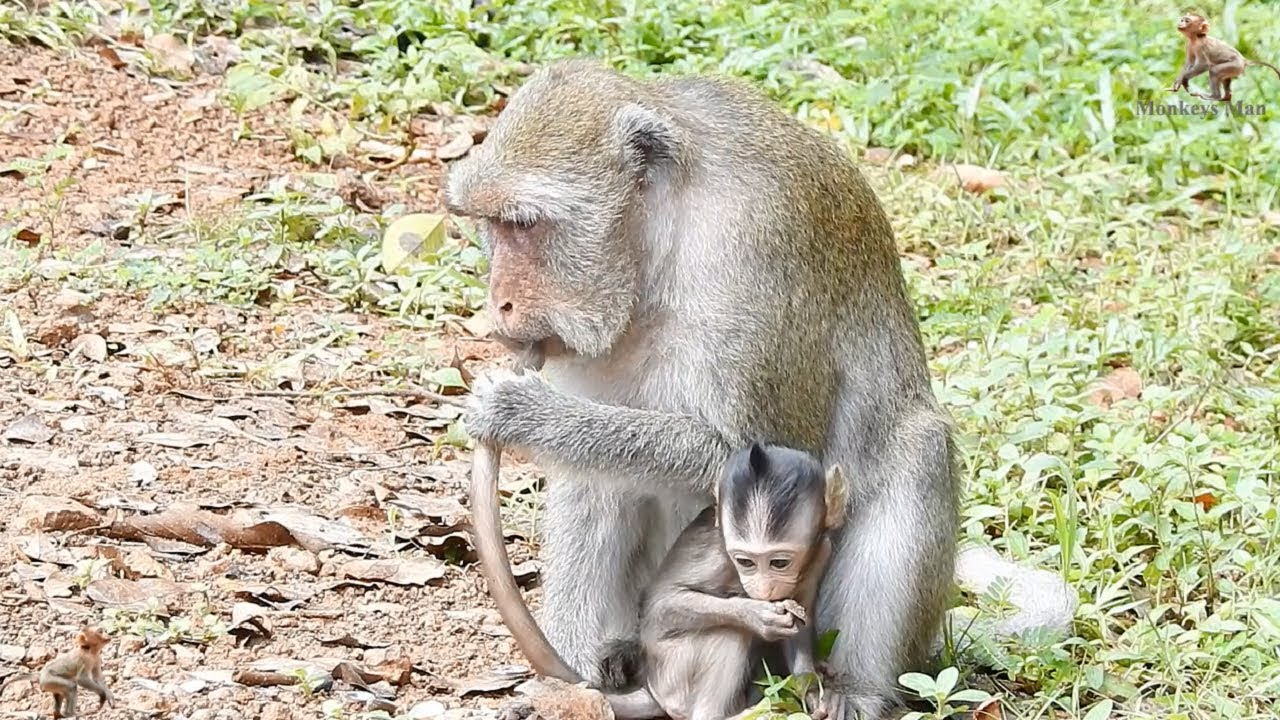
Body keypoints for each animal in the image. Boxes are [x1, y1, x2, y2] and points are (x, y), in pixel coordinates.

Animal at [449, 58, 1075, 719]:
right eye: (490, 225)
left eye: (523, 224)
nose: (498, 302)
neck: (660, 250)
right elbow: (593, 472)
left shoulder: (751, 257)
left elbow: (759, 456)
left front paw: (519, 410)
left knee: (918, 449)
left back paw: (856, 690)